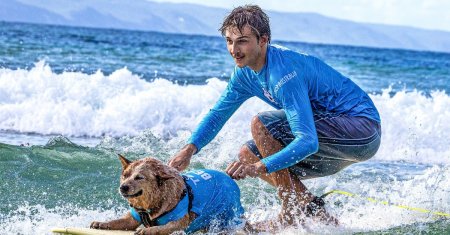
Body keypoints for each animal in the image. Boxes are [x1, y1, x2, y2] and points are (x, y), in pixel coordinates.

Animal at [90, 155, 246, 234]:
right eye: (125, 175)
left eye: (139, 177)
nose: (123, 187)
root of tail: (227, 176)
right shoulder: (132, 218)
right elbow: (119, 221)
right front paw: (102, 223)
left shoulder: (180, 223)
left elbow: (163, 228)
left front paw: (148, 230)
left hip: (229, 214)